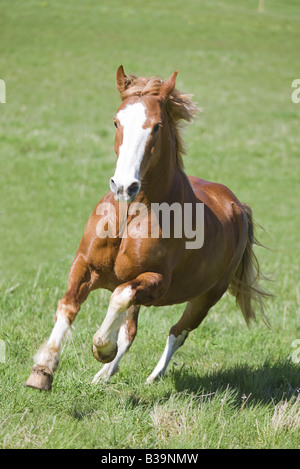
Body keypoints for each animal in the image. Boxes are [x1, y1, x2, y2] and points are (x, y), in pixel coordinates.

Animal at [24, 64, 268, 390]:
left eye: (157, 127)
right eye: (116, 122)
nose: (124, 186)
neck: (130, 215)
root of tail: (238, 206)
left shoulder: (156, 281)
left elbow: (118, 298)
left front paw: (102, 348)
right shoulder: (85, 265)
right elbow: (68, 306)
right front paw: (42, 370)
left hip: (207, 296)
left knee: (177, 332)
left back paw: (152, 376)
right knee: (132, 330)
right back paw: (102, 376)